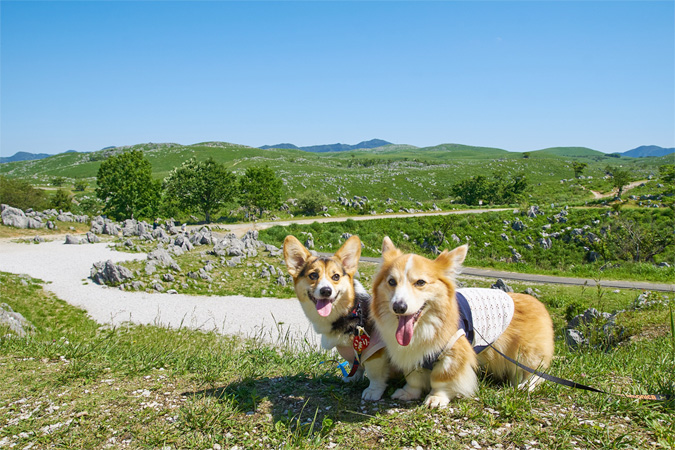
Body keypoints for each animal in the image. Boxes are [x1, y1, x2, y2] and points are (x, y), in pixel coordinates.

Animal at [284, 236, 390, 400]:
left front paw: (373, 391)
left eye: (336, 276)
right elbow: (355, 366)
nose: (326, 291)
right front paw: (353, 378)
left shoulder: (376, 353)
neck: (349, 311)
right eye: (313, 275)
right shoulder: (353, 355)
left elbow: (375, 374)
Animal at [370, 239, 556, 408]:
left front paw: (436, 398)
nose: (399, 307)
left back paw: (526, 385)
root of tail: (537, 303)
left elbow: (441, 379)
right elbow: (413, 378)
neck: (423, 326)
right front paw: (408, 392)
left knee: (537, 371)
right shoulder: (414, 355)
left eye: (420, 282)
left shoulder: (454, 352)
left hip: (524, 354)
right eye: (391, 281)